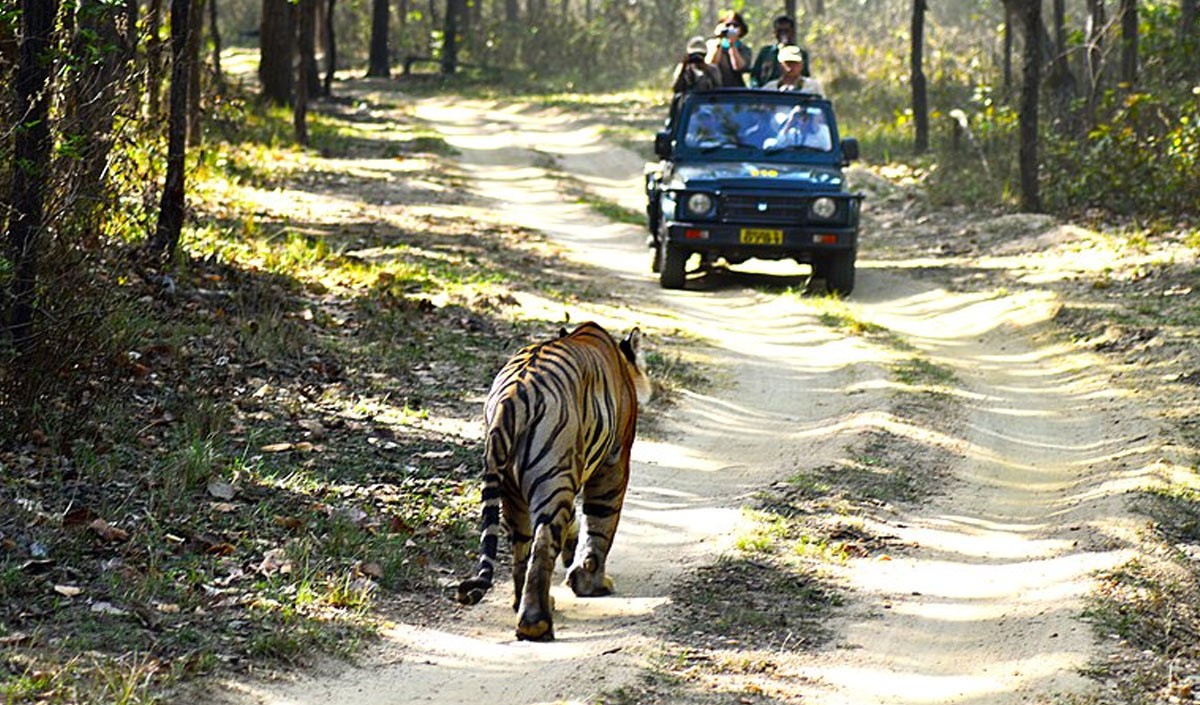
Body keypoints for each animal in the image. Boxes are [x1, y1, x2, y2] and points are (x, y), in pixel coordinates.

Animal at [453, 321, 652, 642]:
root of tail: (510, 398)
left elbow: (575, 521)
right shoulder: (614, 461)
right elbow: (600, 524)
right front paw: (590, 581)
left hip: (516, 488)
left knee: (522, 547)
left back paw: (527, 604)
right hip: (553, 477)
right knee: (543, 543)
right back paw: (536, 624)